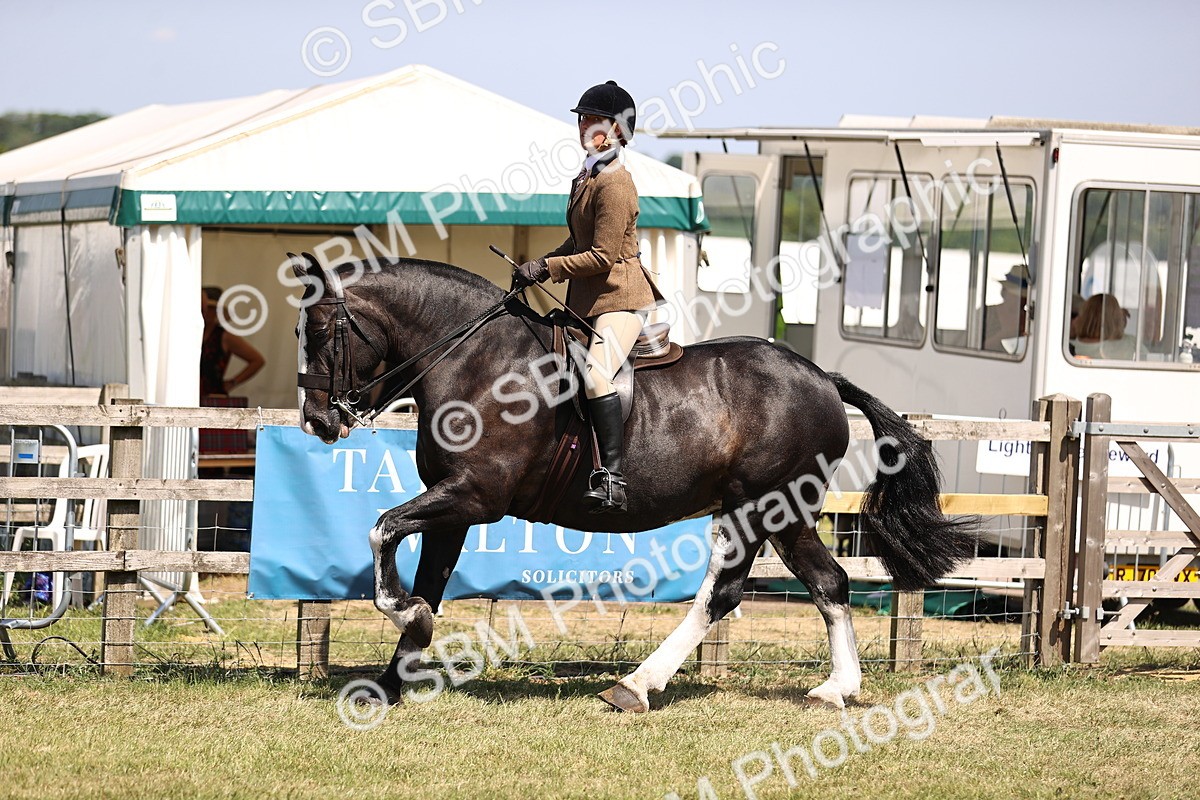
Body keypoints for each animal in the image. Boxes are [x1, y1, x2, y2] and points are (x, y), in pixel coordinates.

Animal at [291, 253, 976, 710]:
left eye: (321, 331)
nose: (318, 422)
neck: (475, 362)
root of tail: (823, 378)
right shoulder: (453, 507)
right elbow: (427, 583)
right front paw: (390, 679)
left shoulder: (474, 498)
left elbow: (382, 530)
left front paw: (400, 619)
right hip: (768, 512)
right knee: (821, 583)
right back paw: (833, 688)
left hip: (765, 505)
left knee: (731, 593)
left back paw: (637, 686)